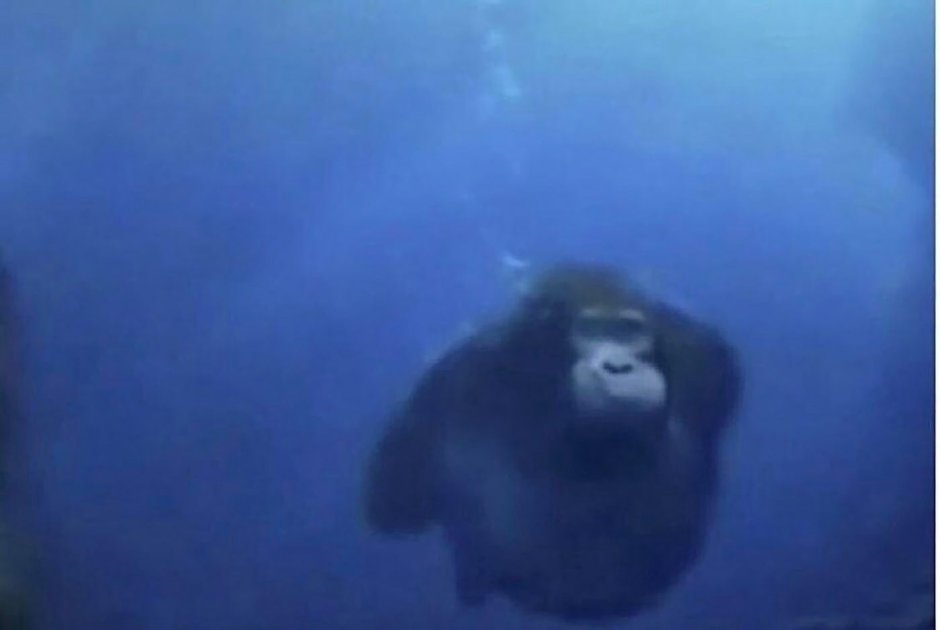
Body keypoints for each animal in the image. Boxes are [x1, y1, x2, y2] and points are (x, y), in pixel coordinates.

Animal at [362, 263, 740, 621]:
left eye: (628, 330)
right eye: (590, 330)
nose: (619, 366)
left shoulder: (705, 355)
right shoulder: (459, 376)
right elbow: (392, 506)